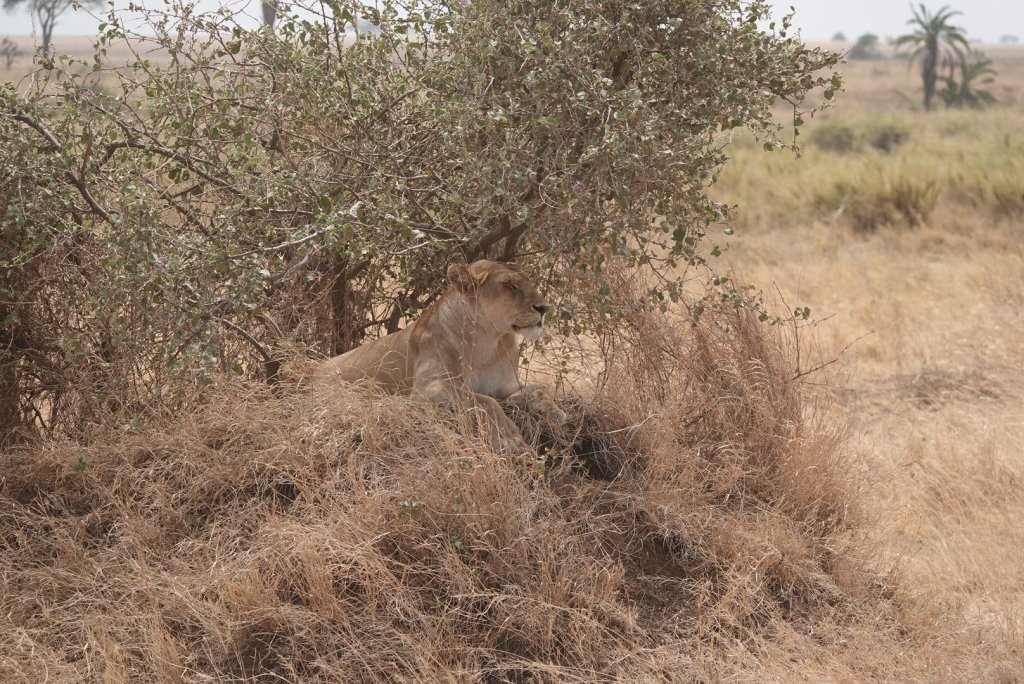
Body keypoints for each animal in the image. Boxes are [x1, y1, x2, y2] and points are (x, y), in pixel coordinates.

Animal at [316, 260, 566, 451]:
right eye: (510, 286)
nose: (544, 308)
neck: (487, 341)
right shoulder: (430, 387)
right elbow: (485, 401)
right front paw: (508, 438)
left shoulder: (507, 388)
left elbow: (539, 389)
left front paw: (557, 413)